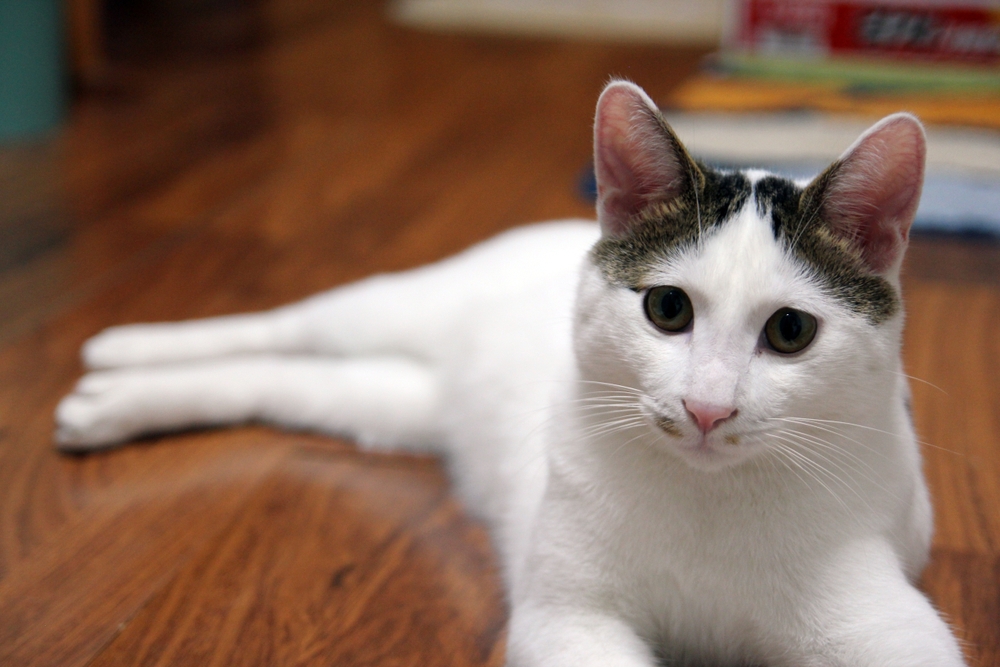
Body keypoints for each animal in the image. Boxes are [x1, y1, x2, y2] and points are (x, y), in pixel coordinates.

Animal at [56, 81, 968, 664]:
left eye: (789, 330)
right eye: (667, 309)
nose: (708, 408)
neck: (707, 501)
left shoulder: (888, 618)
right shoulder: (565, 616)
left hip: (391, 403)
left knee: (276, 377)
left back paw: (108, 400)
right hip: (387, 307)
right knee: (284, 323)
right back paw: (120, 348)